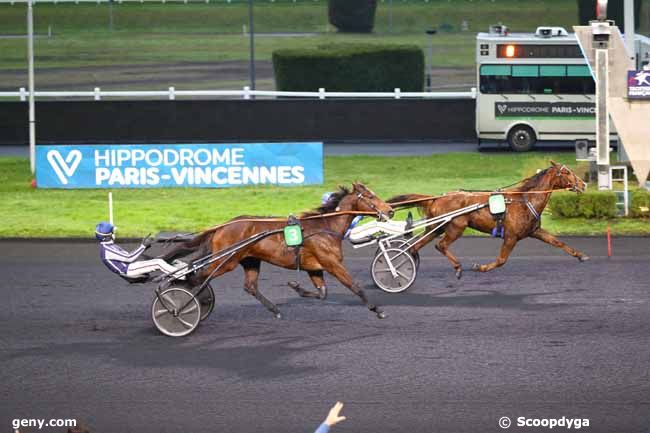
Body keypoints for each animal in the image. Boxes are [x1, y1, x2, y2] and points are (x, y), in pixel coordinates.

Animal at [165, 181, 392, 318]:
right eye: (370, 197)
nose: (390, 210)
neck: (325, 226)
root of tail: (222, 226)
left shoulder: (314, 268)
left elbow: (322, 293)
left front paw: (296, 287)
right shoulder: (332, 263)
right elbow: (355, 286)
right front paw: (377, 310)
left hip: (250, 259)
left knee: (249, 286)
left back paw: (275, 310)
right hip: (226, 261)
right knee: (197, 277)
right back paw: (181, 303)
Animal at [388, 160, 588, 278]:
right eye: (567, 173)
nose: (584, 184)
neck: (525, 200)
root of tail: (437, 197)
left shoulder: (535, 231)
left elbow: (557, 242)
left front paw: (581, 255)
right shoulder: (511, 237)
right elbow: (501, 260)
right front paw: (480, 267)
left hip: (436, 227)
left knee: (415, 246)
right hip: (456, 227)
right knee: (441, 245)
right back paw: (457, 267)